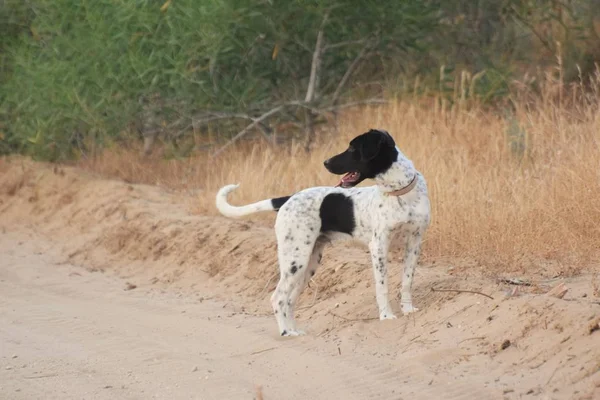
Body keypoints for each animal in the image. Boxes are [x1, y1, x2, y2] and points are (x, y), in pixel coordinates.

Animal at [216, 130, 432, 336]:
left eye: (353, 148)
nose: (325, 162)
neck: (401, 193)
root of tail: (288, 199)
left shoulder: (414, 243)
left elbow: (407, 281)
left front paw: (407, 309)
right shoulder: (378, 247)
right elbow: (382, 286)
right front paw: (386, 316)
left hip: (308, 264)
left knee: (289, 301)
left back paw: (295, 331)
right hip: (295, 260)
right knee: (278, 297)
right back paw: (286, 333)